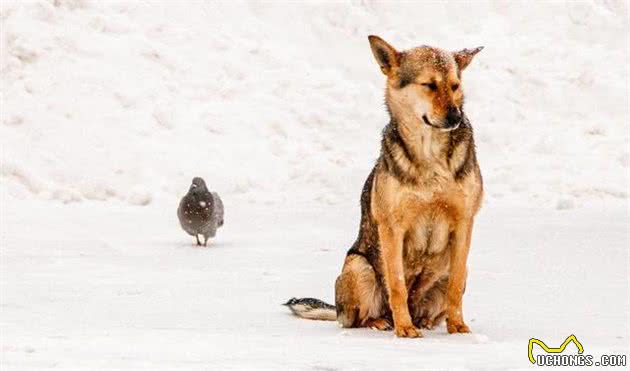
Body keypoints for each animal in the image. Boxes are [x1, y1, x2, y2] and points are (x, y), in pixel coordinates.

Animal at [288, 36, 486, 338]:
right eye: (429, 85)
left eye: (454, 86)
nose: (455, 117)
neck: (429, 153)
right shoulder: (393, 227)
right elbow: (397, 284)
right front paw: (404, 329)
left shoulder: (464, 222)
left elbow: (454, 286)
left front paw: (458, 328)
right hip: (358, 267)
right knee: (360, 317)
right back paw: (384, 322)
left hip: (457, 273)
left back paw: (423, 322)